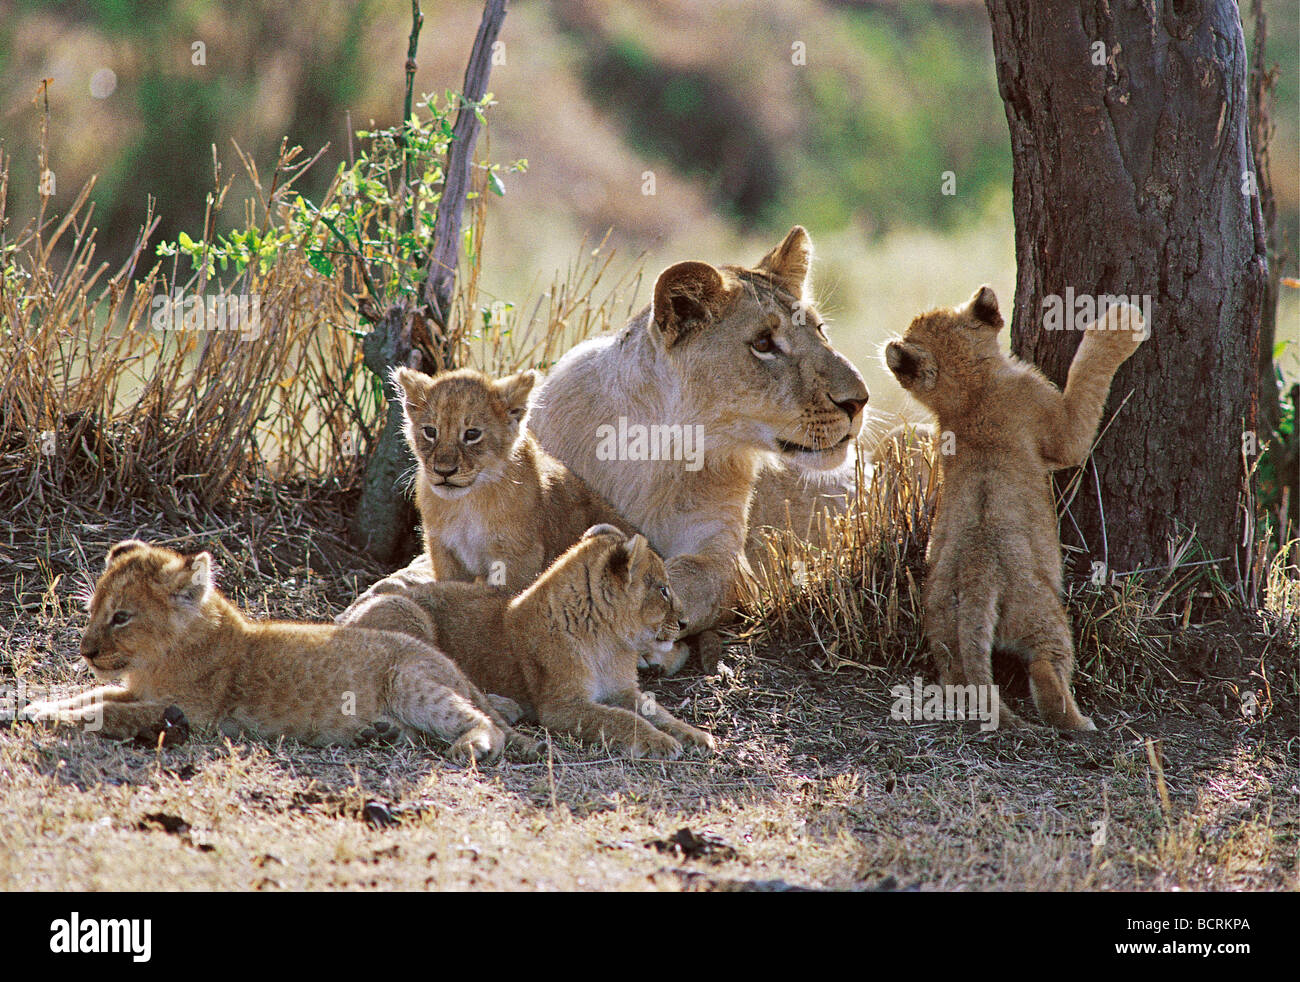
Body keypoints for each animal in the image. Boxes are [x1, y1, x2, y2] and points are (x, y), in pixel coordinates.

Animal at [22, 540, 538, 762]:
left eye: (122, 617)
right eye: (93, 610)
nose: (86, 652)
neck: (157, 659)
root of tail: (449, 662)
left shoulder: (192, 713)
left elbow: (107, 711)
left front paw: (51, 719)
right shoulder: (143, 691)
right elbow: (91, 697)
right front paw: (37, 707)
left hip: (409, 681)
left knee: (488, 722)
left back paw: (470, 745)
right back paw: (382, 734)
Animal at [339, 525, 716, 759]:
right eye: (663, 589)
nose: (684, 622)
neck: (609, 643)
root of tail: (343, 618)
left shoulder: (624, 691)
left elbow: (657, 710)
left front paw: (695, 735)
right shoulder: (561, 706)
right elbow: (620, 719)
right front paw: (659, 742)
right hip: (404, 610)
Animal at [392, 365, 636, 595]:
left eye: (472, 434)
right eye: (430, 431)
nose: (444, 471)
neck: (467, 503)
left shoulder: (518, 557)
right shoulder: (444, 552)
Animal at [527, 226, 869, 643]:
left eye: (820, 331)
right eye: (762, 343)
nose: (859, 400)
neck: (655, 451)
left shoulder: (727, 558)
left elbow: (686, 574)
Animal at [883, 286, 1145, 730]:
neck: (971, 395)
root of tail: (977, 578)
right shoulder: (1059, 427)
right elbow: (1085, 382)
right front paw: (1120, 324)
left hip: (943, 632)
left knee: (961, 680)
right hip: (1043, 614)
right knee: (1046, 667)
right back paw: (1080, 724)